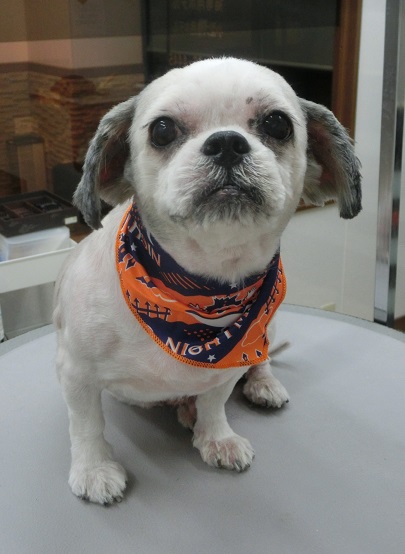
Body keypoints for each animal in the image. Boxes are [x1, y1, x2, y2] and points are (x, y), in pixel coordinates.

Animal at [54, 57, 361, 504]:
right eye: (162, 129)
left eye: (277, 124)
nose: (227, 143)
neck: (196, 292)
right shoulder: (75, 370)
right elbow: (86, 424)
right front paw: (94, 469)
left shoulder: (232, 359)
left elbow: (216, 400)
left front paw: (217, 437)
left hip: (267, 328)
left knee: (262, 360)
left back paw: (257, 387)